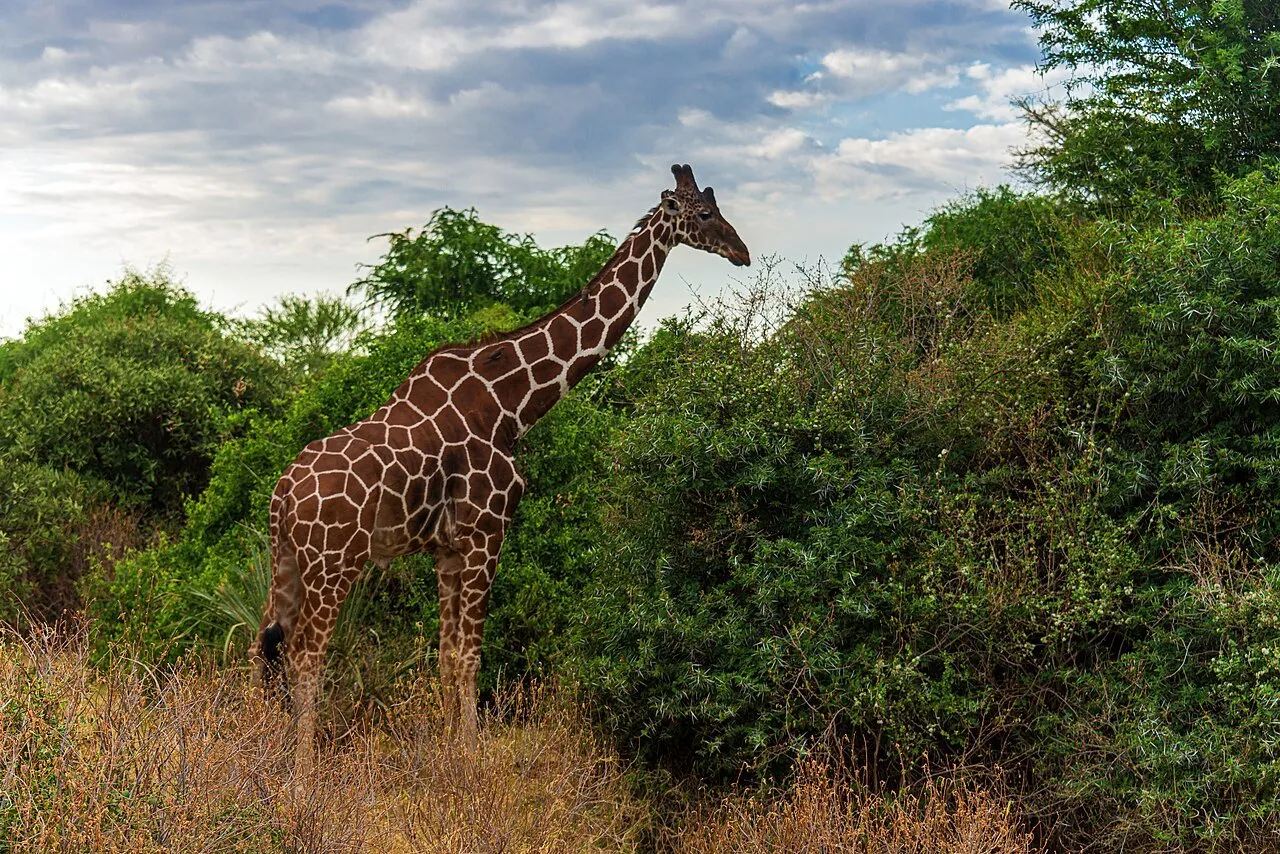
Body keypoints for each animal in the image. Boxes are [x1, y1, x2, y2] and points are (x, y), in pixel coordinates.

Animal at [250, 164, 750, 772]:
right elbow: (470, 654)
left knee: (263, 642)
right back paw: (304, 769)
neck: (512, 403)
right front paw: (472, 757)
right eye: (703, 214)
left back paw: (262, 746)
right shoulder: (488, 529)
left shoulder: (447, 546)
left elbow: (447, 654)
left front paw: (451, 750)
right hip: (333, 562)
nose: (743, 251)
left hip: (287, 560)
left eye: (718, 207)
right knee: (306, 652)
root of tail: (281, 496)